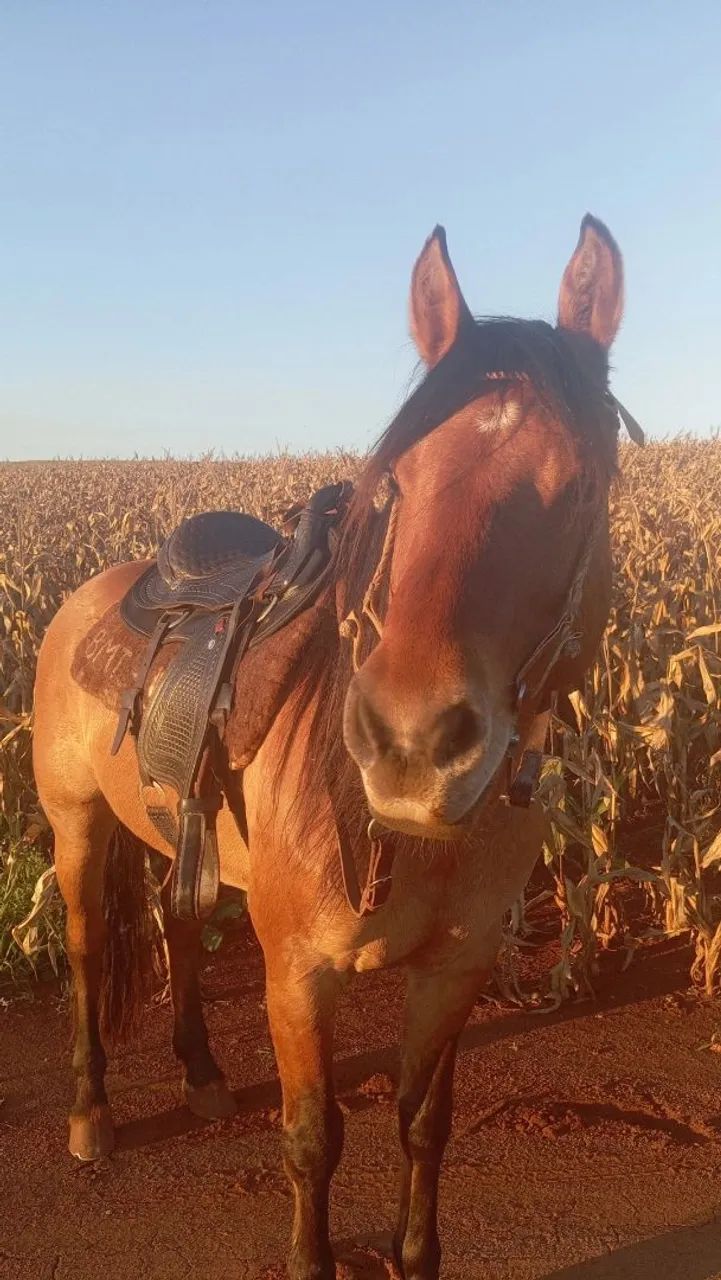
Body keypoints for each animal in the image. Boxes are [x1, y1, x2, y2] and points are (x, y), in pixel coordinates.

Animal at [33, 214, 626, 1279]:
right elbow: (313, 1140)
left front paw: (414, 1252)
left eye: (579, 490)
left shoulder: (456, 967)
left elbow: (422, 1125)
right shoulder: (298, 975)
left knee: (179, 920)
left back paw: (201, 1073)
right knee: (89, 947)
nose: (411, 745)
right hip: (76, 827)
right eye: (391, 487)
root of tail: (101, 589)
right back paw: (91, 1112)